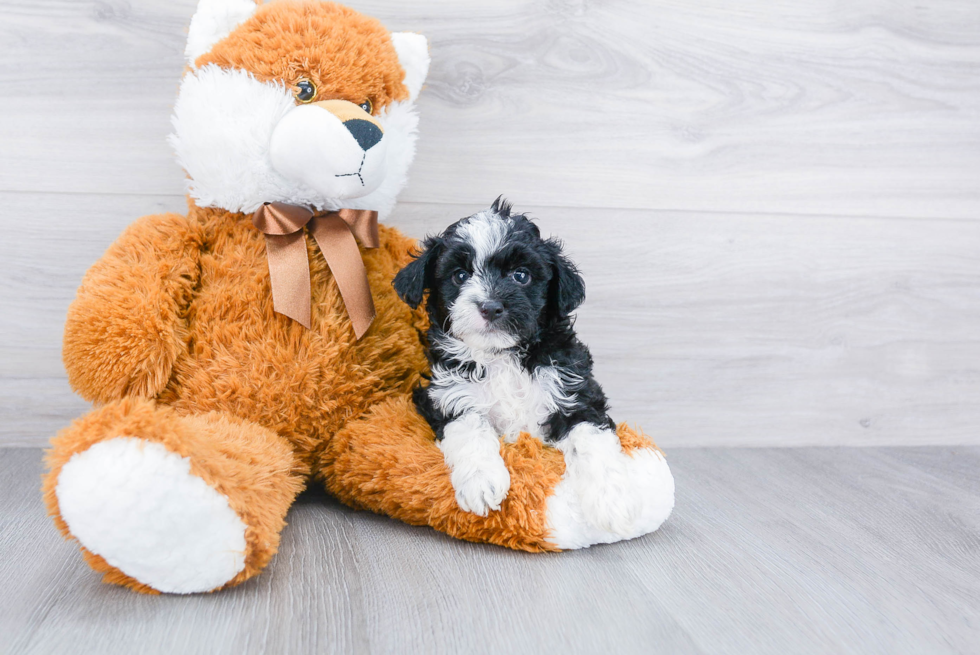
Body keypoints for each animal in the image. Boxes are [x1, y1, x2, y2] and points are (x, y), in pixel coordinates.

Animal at [394, 197, 640, 536]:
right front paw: (482, 482)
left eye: (521, 275)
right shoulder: (444, 395)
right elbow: (470, 426)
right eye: (460, 276)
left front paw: (612, 501)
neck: (504, 356)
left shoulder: (575, 392)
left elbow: (592, 438)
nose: (490, 306)